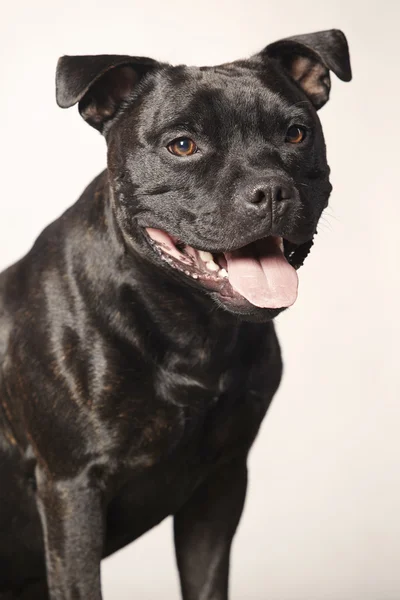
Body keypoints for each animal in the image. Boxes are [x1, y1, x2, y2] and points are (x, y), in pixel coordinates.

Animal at [0, 29, 350, 600]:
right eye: (182, 145)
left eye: (297, 134)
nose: (272, 191)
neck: (192, 326)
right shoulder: (72, 490)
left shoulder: (220, 484)